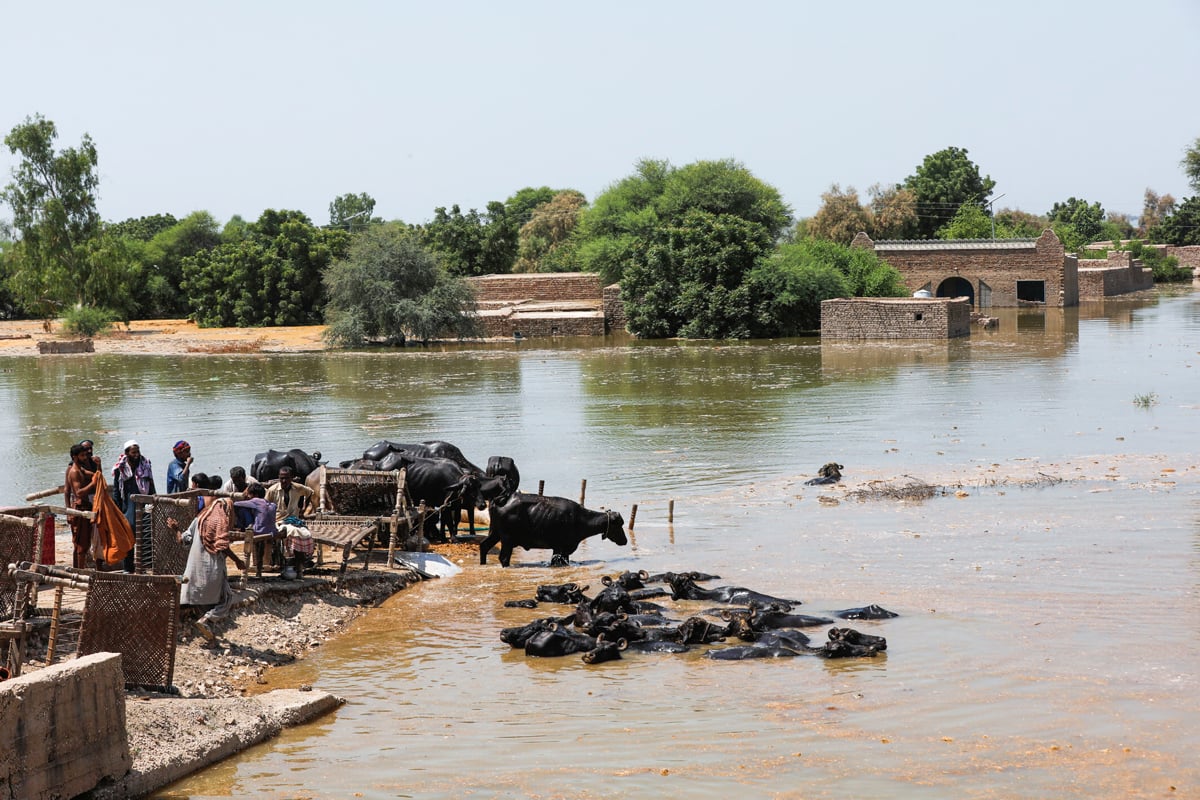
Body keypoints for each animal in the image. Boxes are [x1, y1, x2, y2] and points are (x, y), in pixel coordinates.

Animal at [477, 491, 628, 566]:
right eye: (619, 524)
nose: (625, 541)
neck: (580, 519)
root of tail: (503, 498)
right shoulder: (561, 548)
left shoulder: (561, 549)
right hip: (507, 539)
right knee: (503, 557)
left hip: (495, 533)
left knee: (484, 546)